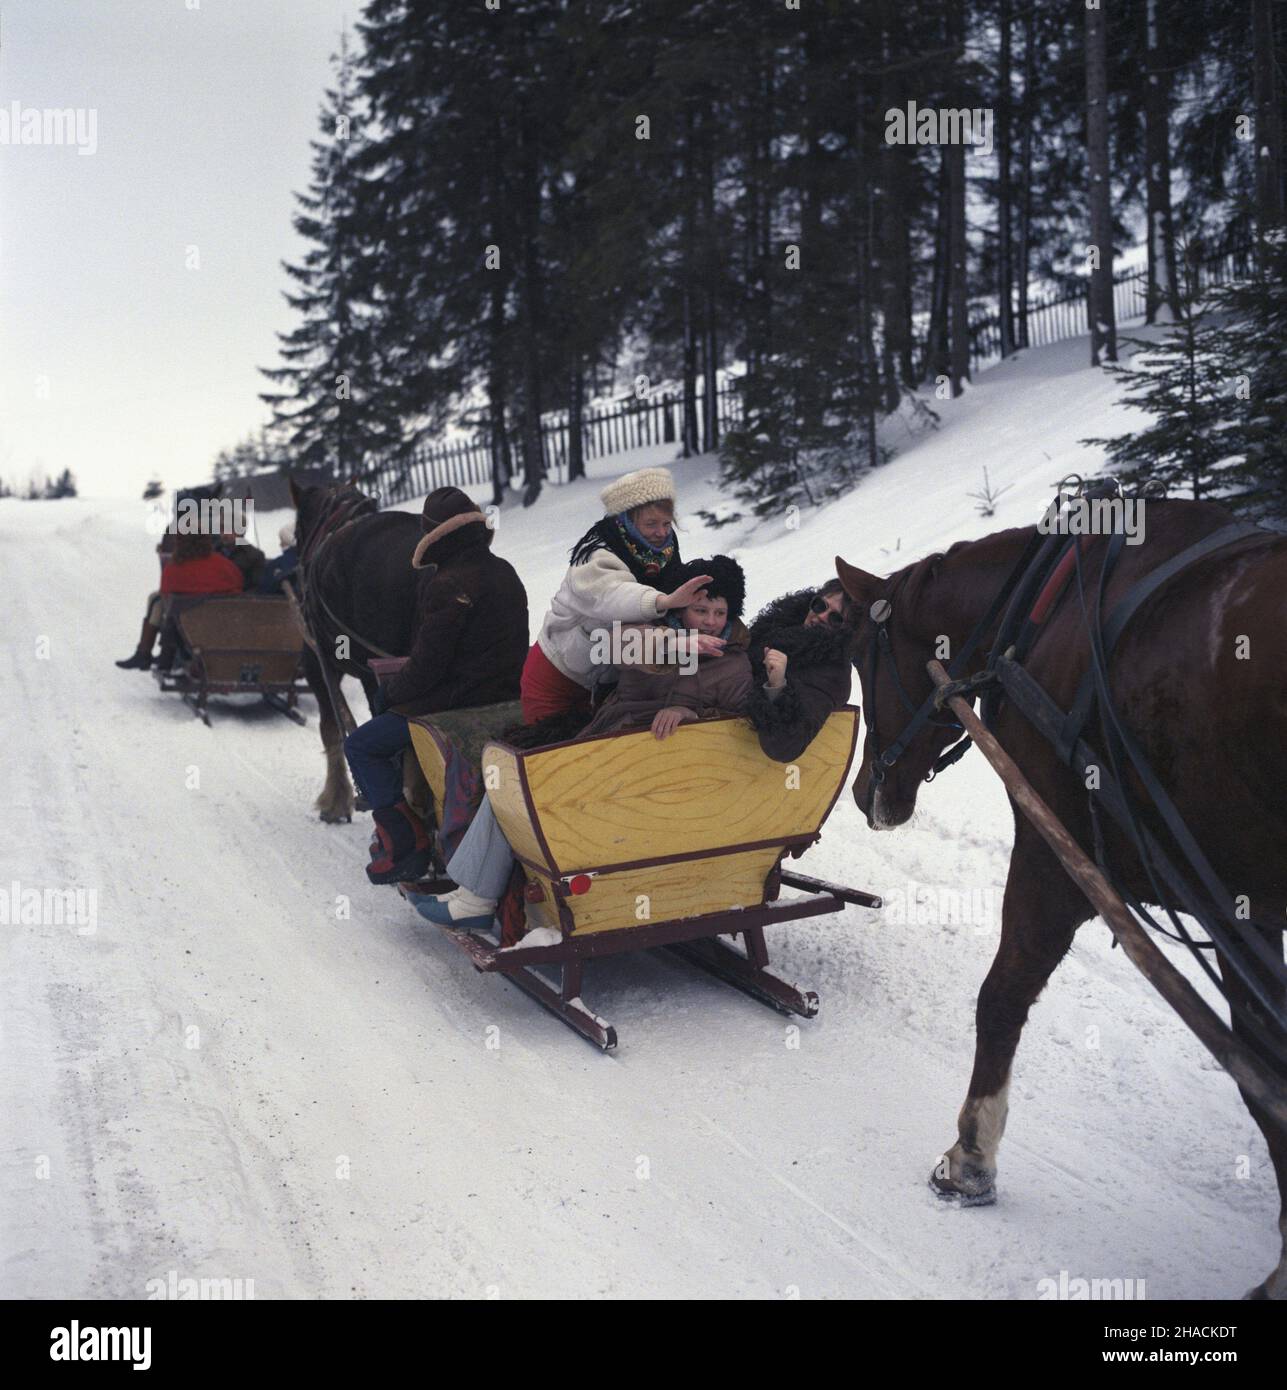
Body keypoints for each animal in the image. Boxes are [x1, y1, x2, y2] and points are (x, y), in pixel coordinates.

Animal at [833, 494, 1287, 1295]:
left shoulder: (1056, 856)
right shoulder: (1244, 911)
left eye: (861, 658)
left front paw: (970, 1160)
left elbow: (1001, 995)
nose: (864, 793)